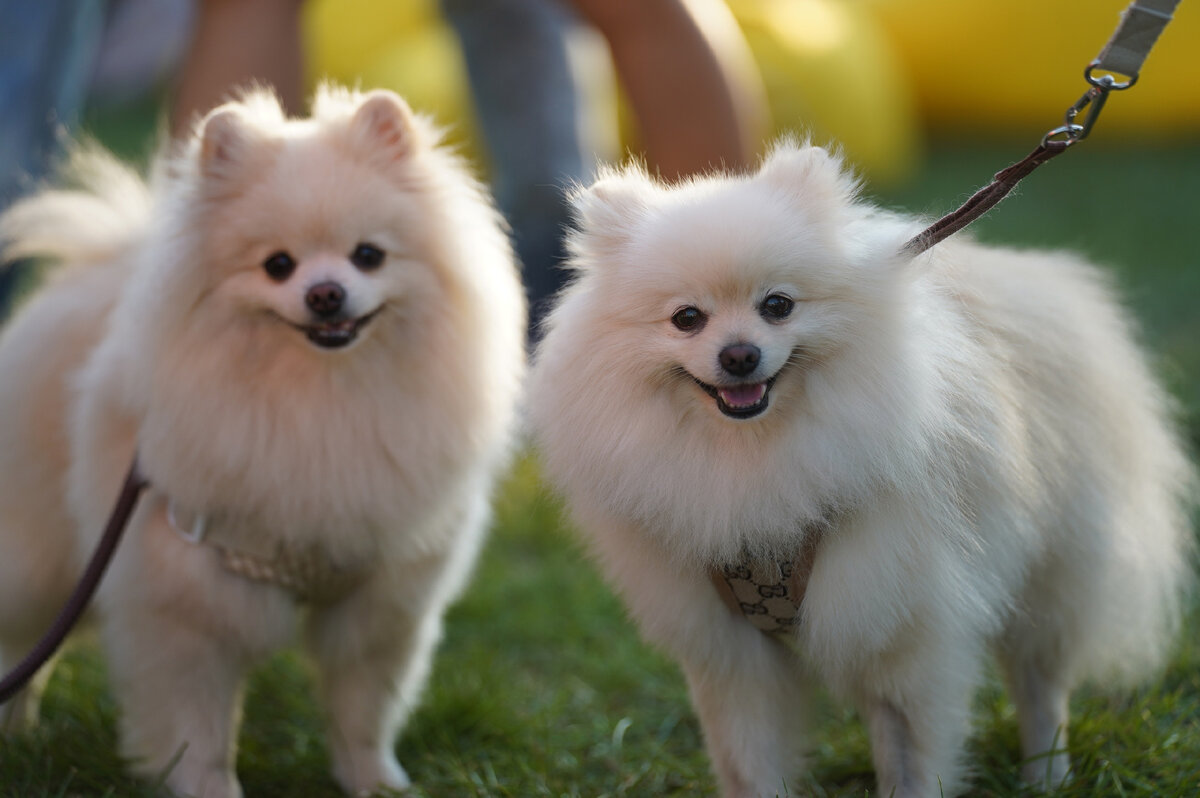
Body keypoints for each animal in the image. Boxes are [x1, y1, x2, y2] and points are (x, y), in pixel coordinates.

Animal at [0, 84, 525, 792]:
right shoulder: (185, 601)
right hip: (41, 560)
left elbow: (363, 709)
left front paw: (373, 781)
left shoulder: (381, 599)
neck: (323, 402)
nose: (326, 293)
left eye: (369, 255)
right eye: (278, 265)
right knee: (22, 641)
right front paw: (206, 788)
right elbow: (196, 727)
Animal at [530, 143, 1195, 796]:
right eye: (686, 318)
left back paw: (1046, 776)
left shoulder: (899, 625)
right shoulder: (730, 650)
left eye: (778, 305)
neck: (753, 456)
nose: (740, 355)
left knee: (1040, 685)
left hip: (1052, 571)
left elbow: (907, 757)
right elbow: (748, 761)